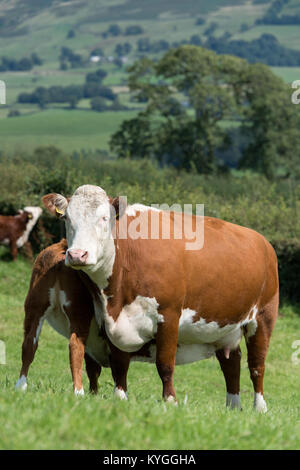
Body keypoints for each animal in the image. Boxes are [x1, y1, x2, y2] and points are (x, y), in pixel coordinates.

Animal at [40, 185, 278, 412]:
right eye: (67, 218)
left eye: (104, 218)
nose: (77, 254)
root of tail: (263, 242)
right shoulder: (112, 318)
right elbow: (119, 363)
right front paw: (120, 397)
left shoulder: (169, 316)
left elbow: (164, 364)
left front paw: (170, 400)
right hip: (225, 327)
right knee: (231, 363)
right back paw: (233, 405)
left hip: (263, 316)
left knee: (257, 365)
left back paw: (260, 407)